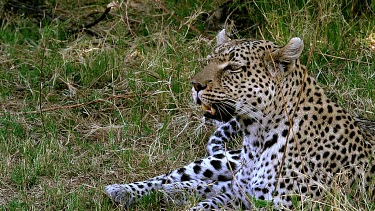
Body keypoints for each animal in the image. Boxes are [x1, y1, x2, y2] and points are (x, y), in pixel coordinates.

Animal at [106, 29, 375, 209]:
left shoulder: (276, 203)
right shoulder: (245, 192)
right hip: (223, 162)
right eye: (209, 61)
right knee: (176, 176)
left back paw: (170, 192)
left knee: (204, 185)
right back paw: (125, 190)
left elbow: (211, 201)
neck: (257, 136)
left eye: (233, 68)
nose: (195, 85)